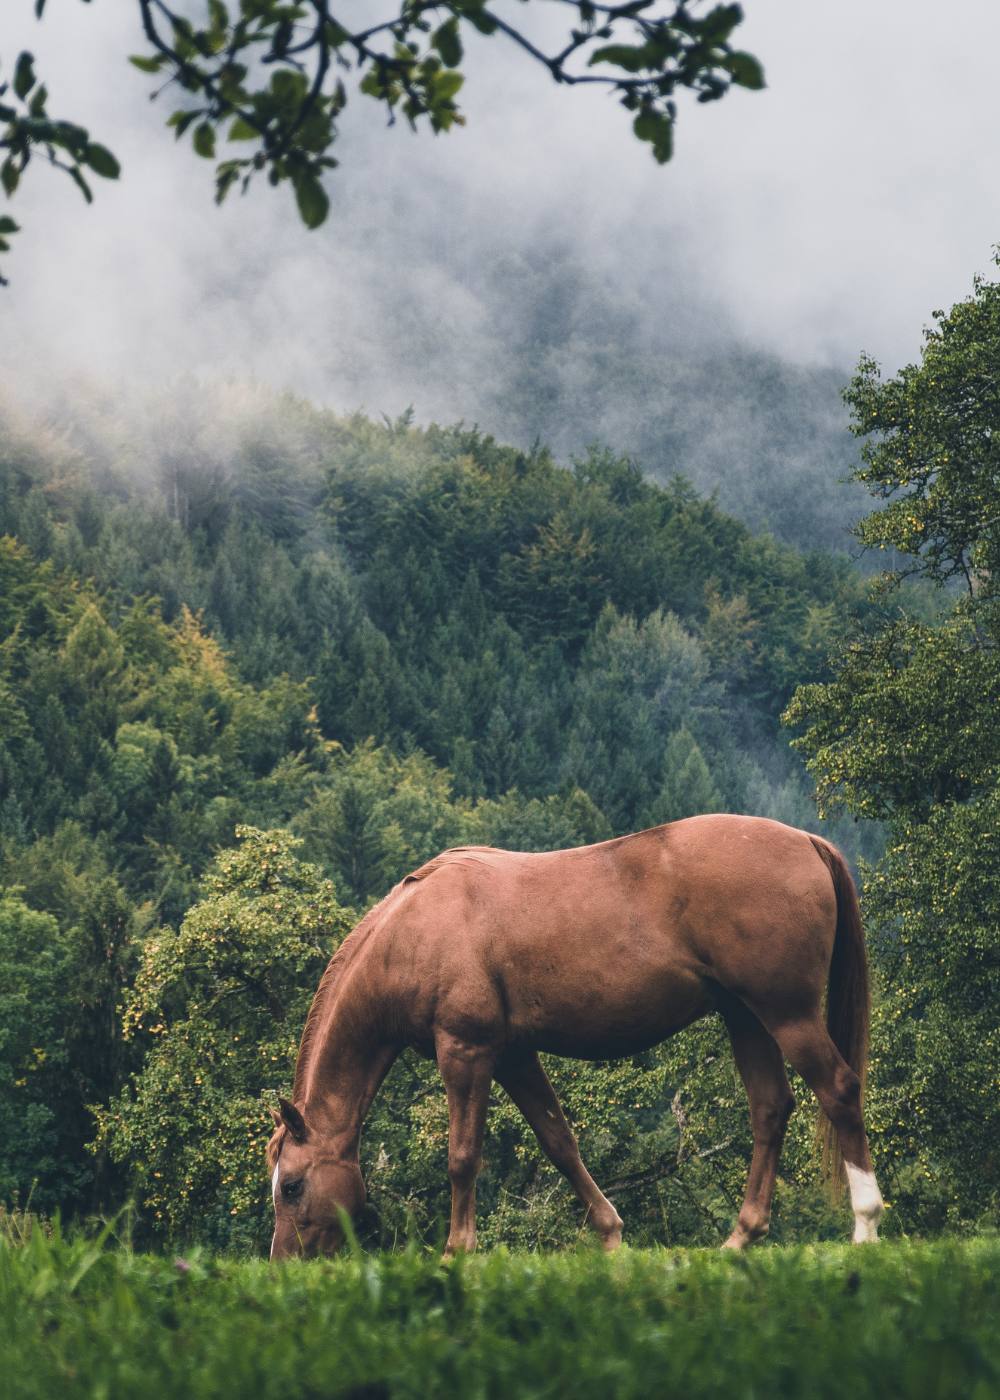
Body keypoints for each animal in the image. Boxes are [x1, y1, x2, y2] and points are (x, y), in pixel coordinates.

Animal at [266, 813, 884, 1258]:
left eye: (291, 1185)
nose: (284, 1264)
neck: (415, 929)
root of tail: (806, 841)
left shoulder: (465, 1051)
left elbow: (463, 1156)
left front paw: (456, 1252)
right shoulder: (514, 1055)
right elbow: (559, 1142)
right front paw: (610, 1234)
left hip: (787, 1015)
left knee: (838, 1091)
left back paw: (865, 1226)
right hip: (746, 1018)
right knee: (770, 1109)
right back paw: (741, 1237)